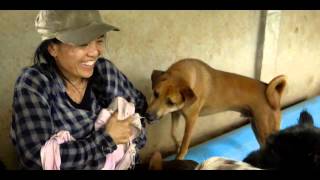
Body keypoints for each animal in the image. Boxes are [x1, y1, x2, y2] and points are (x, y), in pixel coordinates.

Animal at [146, 58, 286, 160]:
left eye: (170, 102)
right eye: (155, 93)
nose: (148, 116)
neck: (184, 75)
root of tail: (274, 92)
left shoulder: (191, 119)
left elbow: (185, 143)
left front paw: (179, 156)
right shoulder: (176, 113)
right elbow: (173, 133)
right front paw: (177, 145)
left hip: (265, 129)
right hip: (256, 127)